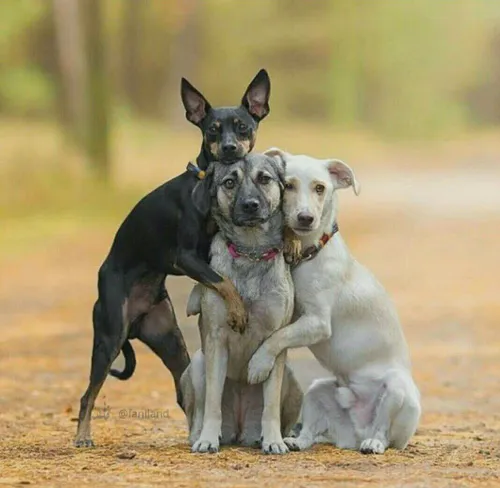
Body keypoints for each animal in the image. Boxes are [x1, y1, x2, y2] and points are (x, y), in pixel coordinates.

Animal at [73, 70, 270, 448]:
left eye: (242, 127)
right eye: (212, 130)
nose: (229, 148)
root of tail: (135, 321)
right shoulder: (186, 258)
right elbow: (223, 281)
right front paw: (238, 311)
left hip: (170, 341)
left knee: (184, 392)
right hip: (109, 338)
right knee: (88, 394)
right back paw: (83, 436)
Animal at [182, 152, 302, 454]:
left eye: (264, 179)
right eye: (229, 182)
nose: (250, 205)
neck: (251, 252)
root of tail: (239, 430)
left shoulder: (274, 346)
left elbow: (270, 405)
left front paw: (273, 441)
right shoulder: (216, 340)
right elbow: (212, 401)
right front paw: (208, 439)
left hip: (292, 379)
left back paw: (282, 438)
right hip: (197, 364)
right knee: (198, 412)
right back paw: (200, 435)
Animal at [247, 149, 422, 454]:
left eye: (320, 188)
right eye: (288, 185)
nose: (305, 218)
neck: (309, 255)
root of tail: (355, 435)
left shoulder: (317, 322)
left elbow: (277, 337)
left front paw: (258, 363)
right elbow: (279, 332)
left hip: (397, 388)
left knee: (384, 431)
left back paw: (374, 442)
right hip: (317, 390)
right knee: (310, 433)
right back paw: (295, 441)